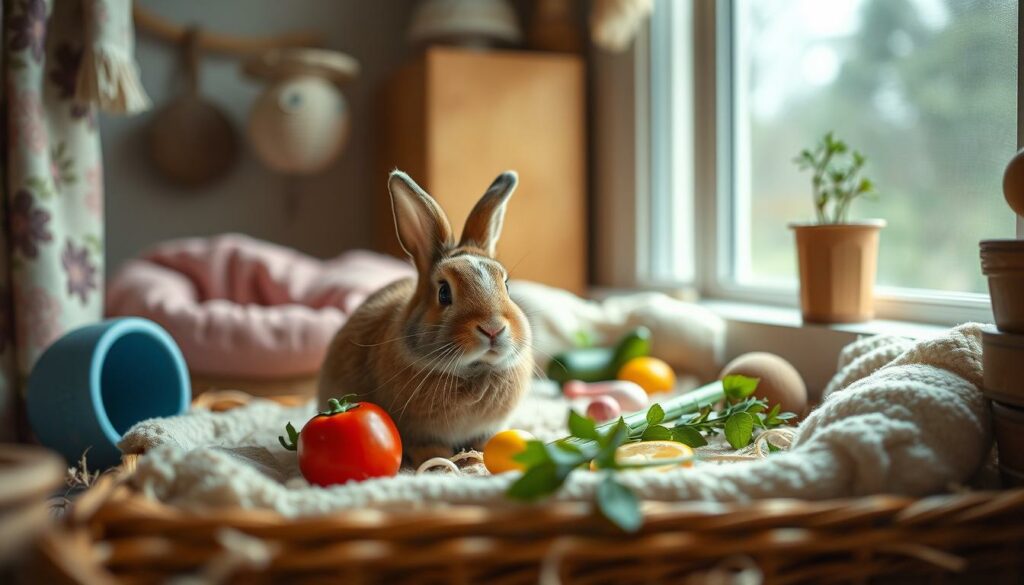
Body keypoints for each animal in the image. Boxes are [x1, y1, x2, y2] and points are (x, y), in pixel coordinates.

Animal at [315, 170, 532, 467]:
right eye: (444, 293)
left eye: (506, 285)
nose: (493, 328)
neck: (472, 371)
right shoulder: (419, 433)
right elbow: (430, 447)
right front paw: (439, 461)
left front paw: (476, 459)